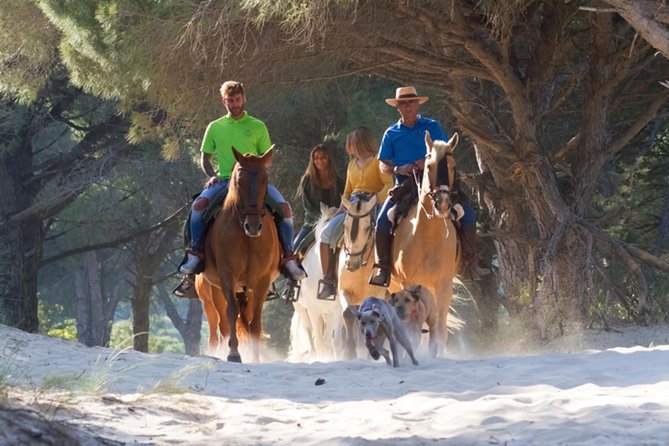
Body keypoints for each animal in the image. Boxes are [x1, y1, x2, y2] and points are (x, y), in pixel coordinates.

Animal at [195, 147, 281, 363]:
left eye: (265, 179)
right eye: (239, 182)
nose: (253, 226)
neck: (246, 236)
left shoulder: (261, 280)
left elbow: (255, 322)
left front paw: (256, 357)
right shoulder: (227, 276)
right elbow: (232, 313)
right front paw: (233, 353)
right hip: (214, 294)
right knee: (221, 326)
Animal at [288, 204, 342, 362]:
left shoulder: (335, 310)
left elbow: (328, 341)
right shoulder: (313, 310)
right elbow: (318, 341)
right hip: (301, 308)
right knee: (309, 333)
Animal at [389, 132, 461, 356]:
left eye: (453, 166)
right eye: (429, 166)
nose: (443, 204)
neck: (429, 236)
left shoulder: (444, 285)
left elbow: (439, 331)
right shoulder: (405, 284)